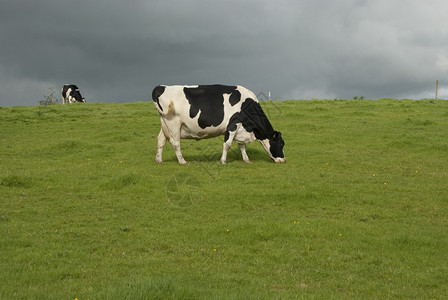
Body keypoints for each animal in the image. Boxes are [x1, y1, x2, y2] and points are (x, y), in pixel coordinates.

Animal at [150, 84, 284, 164]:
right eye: (281, 144)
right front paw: (223, 161)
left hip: (165, 124)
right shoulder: (233, 124)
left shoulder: (240, 128)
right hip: (173, 123)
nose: (283, 160)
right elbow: (227, 144)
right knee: (175, 142)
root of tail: (160, 87)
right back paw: (182, 161)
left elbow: (242, 145)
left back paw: (158, 160)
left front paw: (246, 160)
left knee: (161, 140)